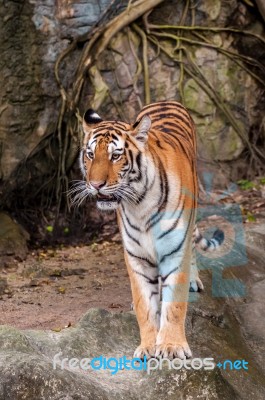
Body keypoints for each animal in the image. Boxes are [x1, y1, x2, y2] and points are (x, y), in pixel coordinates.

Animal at [71, 100, 223, 360]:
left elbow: (175, 304)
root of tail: (164, 101)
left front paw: (172, 347)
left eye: (115, 156)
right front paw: (148, 346)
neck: (139, 204)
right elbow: (145, 305)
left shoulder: (175, 251)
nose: (96, 185)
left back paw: (193, 281)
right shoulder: (137, 257)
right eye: (90, 155)